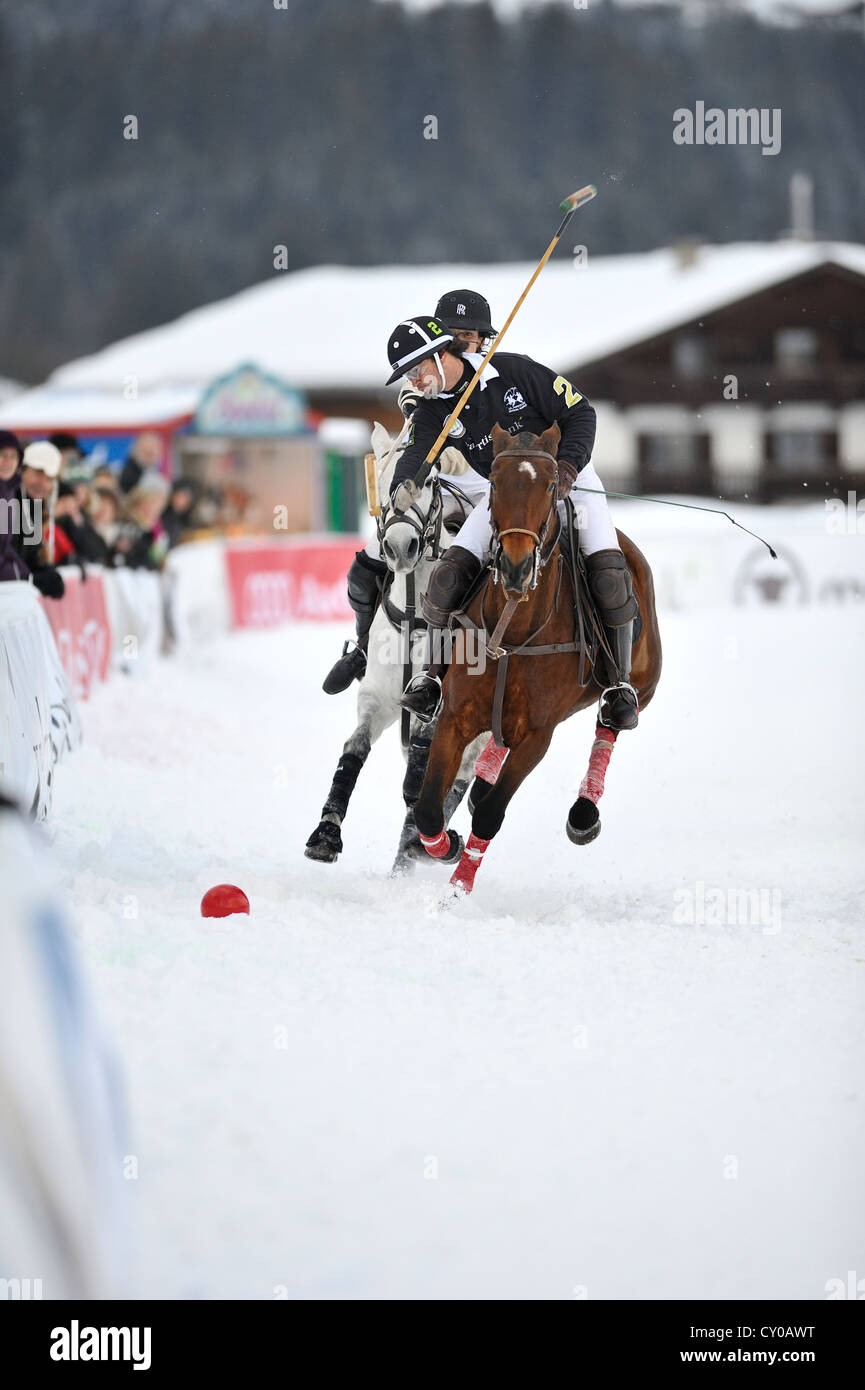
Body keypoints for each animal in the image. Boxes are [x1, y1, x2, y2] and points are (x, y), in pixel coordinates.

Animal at [307, 422, 495, 872]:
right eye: (381, 477)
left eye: (428, 481)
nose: (399, 546)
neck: (415, 613)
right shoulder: (378, 697)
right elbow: (355, 748)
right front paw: (325, 835)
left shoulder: (437, 707)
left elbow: (424, 770)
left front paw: (423, 839)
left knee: (459, 775)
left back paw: (425, 846)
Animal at [414, 422, 664, 895]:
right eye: (495, 483)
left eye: (550, 485)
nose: (516, 567)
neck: (512, 632)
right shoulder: (453, 717)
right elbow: (428, 811)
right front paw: (449, 845)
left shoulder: (537, 736)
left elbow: (491, 815)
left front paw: (457, 891)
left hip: (642, 684)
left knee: (611, 721)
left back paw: (584, 814)